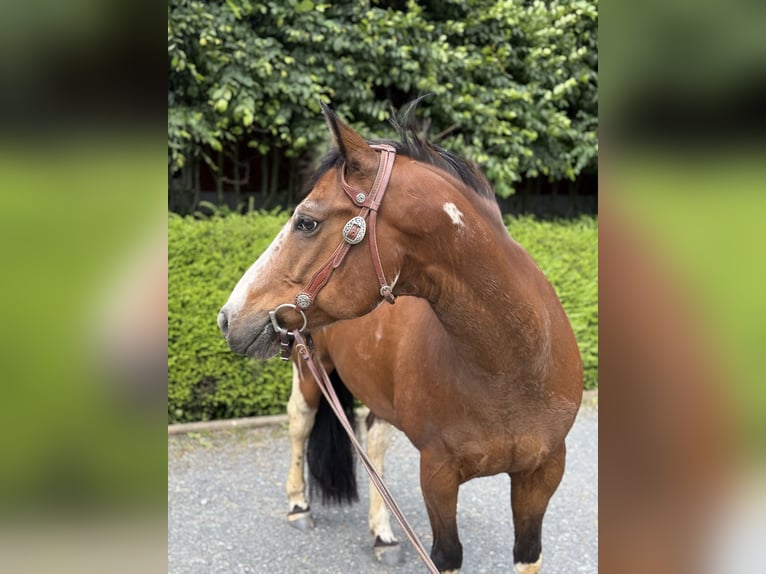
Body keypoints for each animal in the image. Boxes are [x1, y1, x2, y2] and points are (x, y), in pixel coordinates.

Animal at [218, 103, 583, 573]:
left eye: (306, 222)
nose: (229, 317)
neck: (511, 366)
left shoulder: (543, 474)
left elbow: (528, 554)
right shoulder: (439, 476)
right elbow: (448, 554)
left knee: (373, 440)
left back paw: (383, 533)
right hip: (308, 368)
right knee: (300, 421)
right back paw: (299, 505)